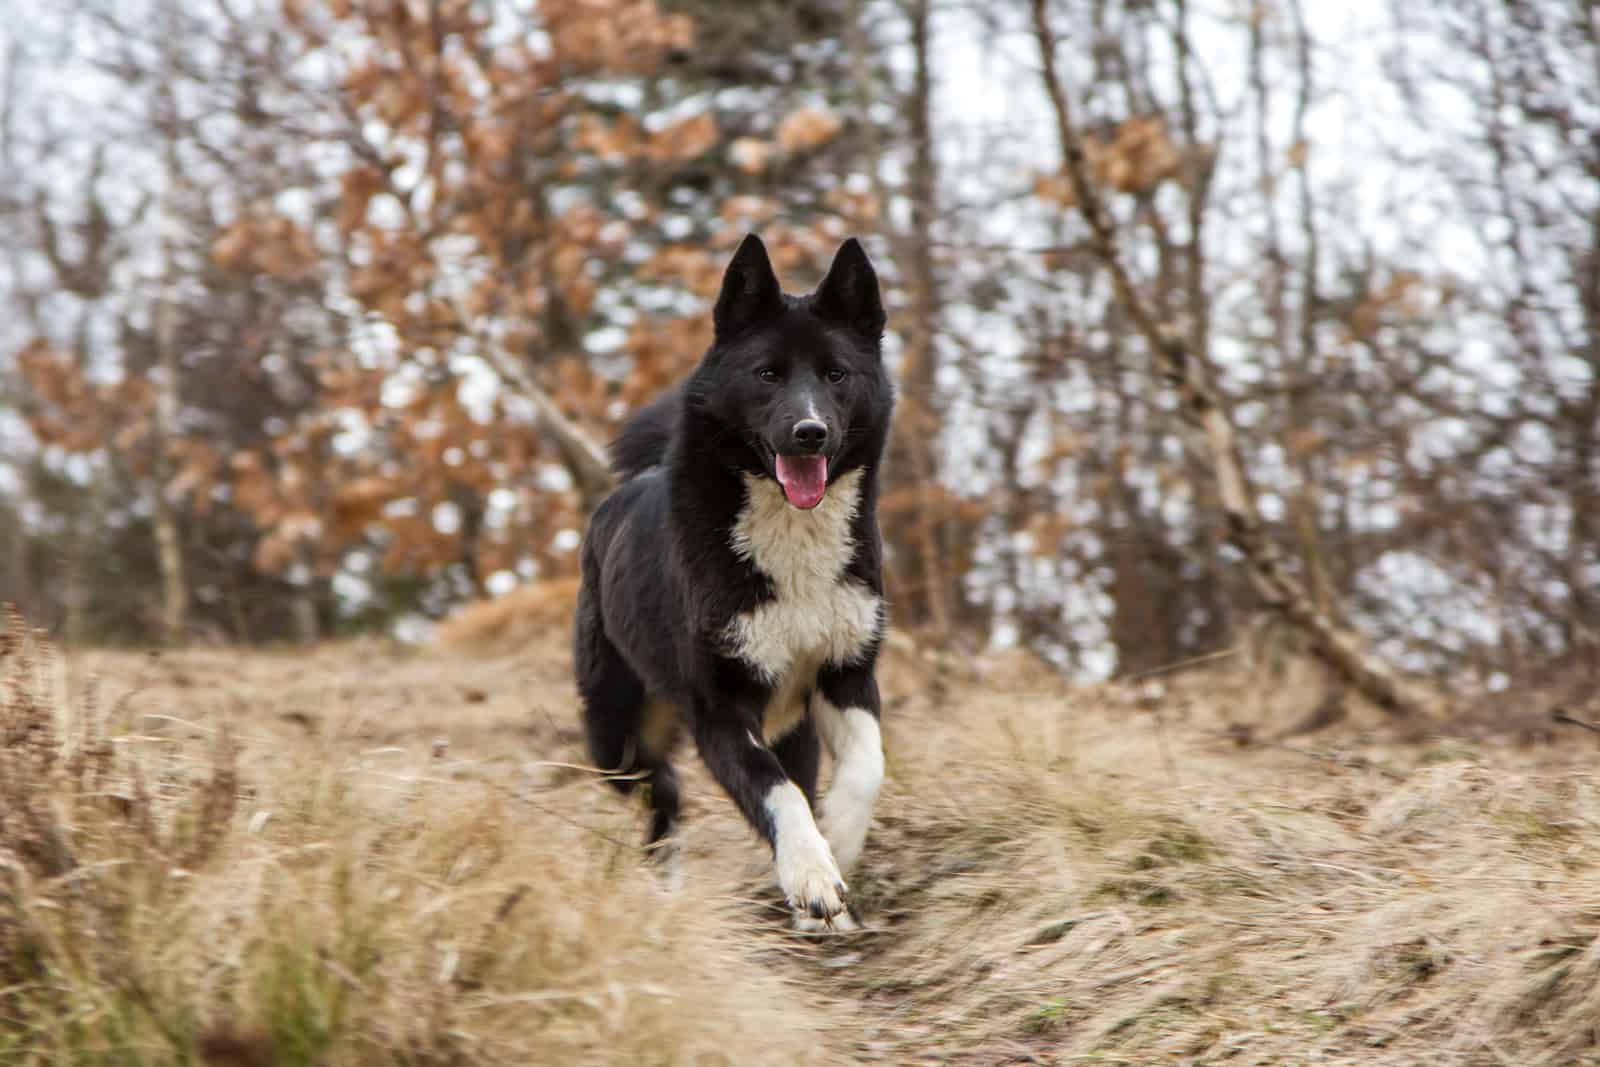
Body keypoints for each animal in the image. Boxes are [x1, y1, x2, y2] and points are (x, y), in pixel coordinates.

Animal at [576, 233, 896, 927]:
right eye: (767, 374)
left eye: (836, 374)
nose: (810, 432)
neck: (793, 538)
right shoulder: (721, 709)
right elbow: (776, 793)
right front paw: (811, 876)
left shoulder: (845, 675)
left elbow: (866, 768)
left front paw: (838, 845)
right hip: (614, 730)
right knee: (660, 792)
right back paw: (668, 887)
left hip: (791, 727)